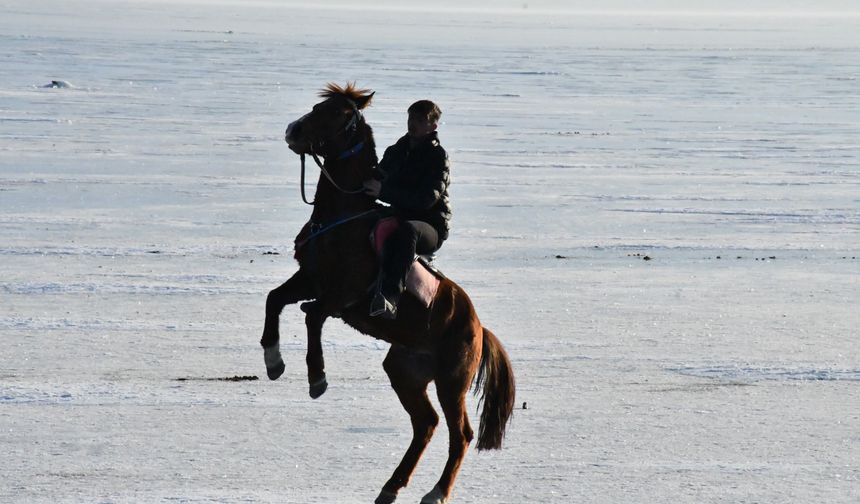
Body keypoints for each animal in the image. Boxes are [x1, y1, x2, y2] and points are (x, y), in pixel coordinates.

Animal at [255, 83, 510, 504]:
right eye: (317, 107)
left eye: (340, 113)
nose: (293, 130)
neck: (342, 215)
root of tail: (478, 327)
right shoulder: (310, 279)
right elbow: (275, 299)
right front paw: (274, 361)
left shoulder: (344, 294)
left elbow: (312, 315)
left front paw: (317, 378)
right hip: (405, 370)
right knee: (426, 423)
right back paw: (391, 487)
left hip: (451, 378)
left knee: (460, 433)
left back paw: (436, 492)